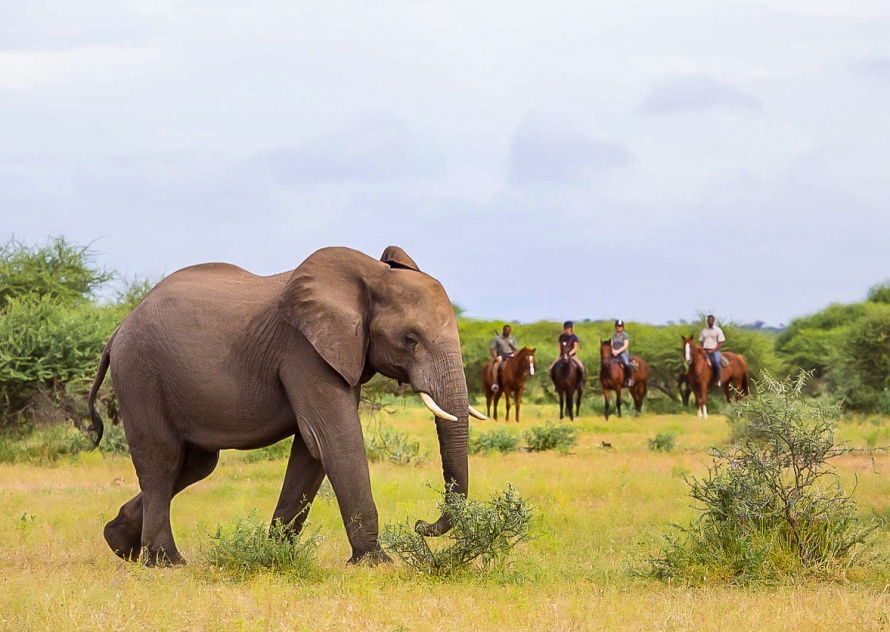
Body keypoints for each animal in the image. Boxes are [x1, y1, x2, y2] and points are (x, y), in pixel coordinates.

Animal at [85, 244, 486, 564]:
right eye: (410, 338)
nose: (420, 524)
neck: (369, 276)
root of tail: (118, 330)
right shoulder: (304, 350)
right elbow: (334, 439)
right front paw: (378, 563)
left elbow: (311, 452)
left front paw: (275, 554)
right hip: (140, 373)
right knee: (162, 461)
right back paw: (166, 563)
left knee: (196, 464)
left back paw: (118, 543)